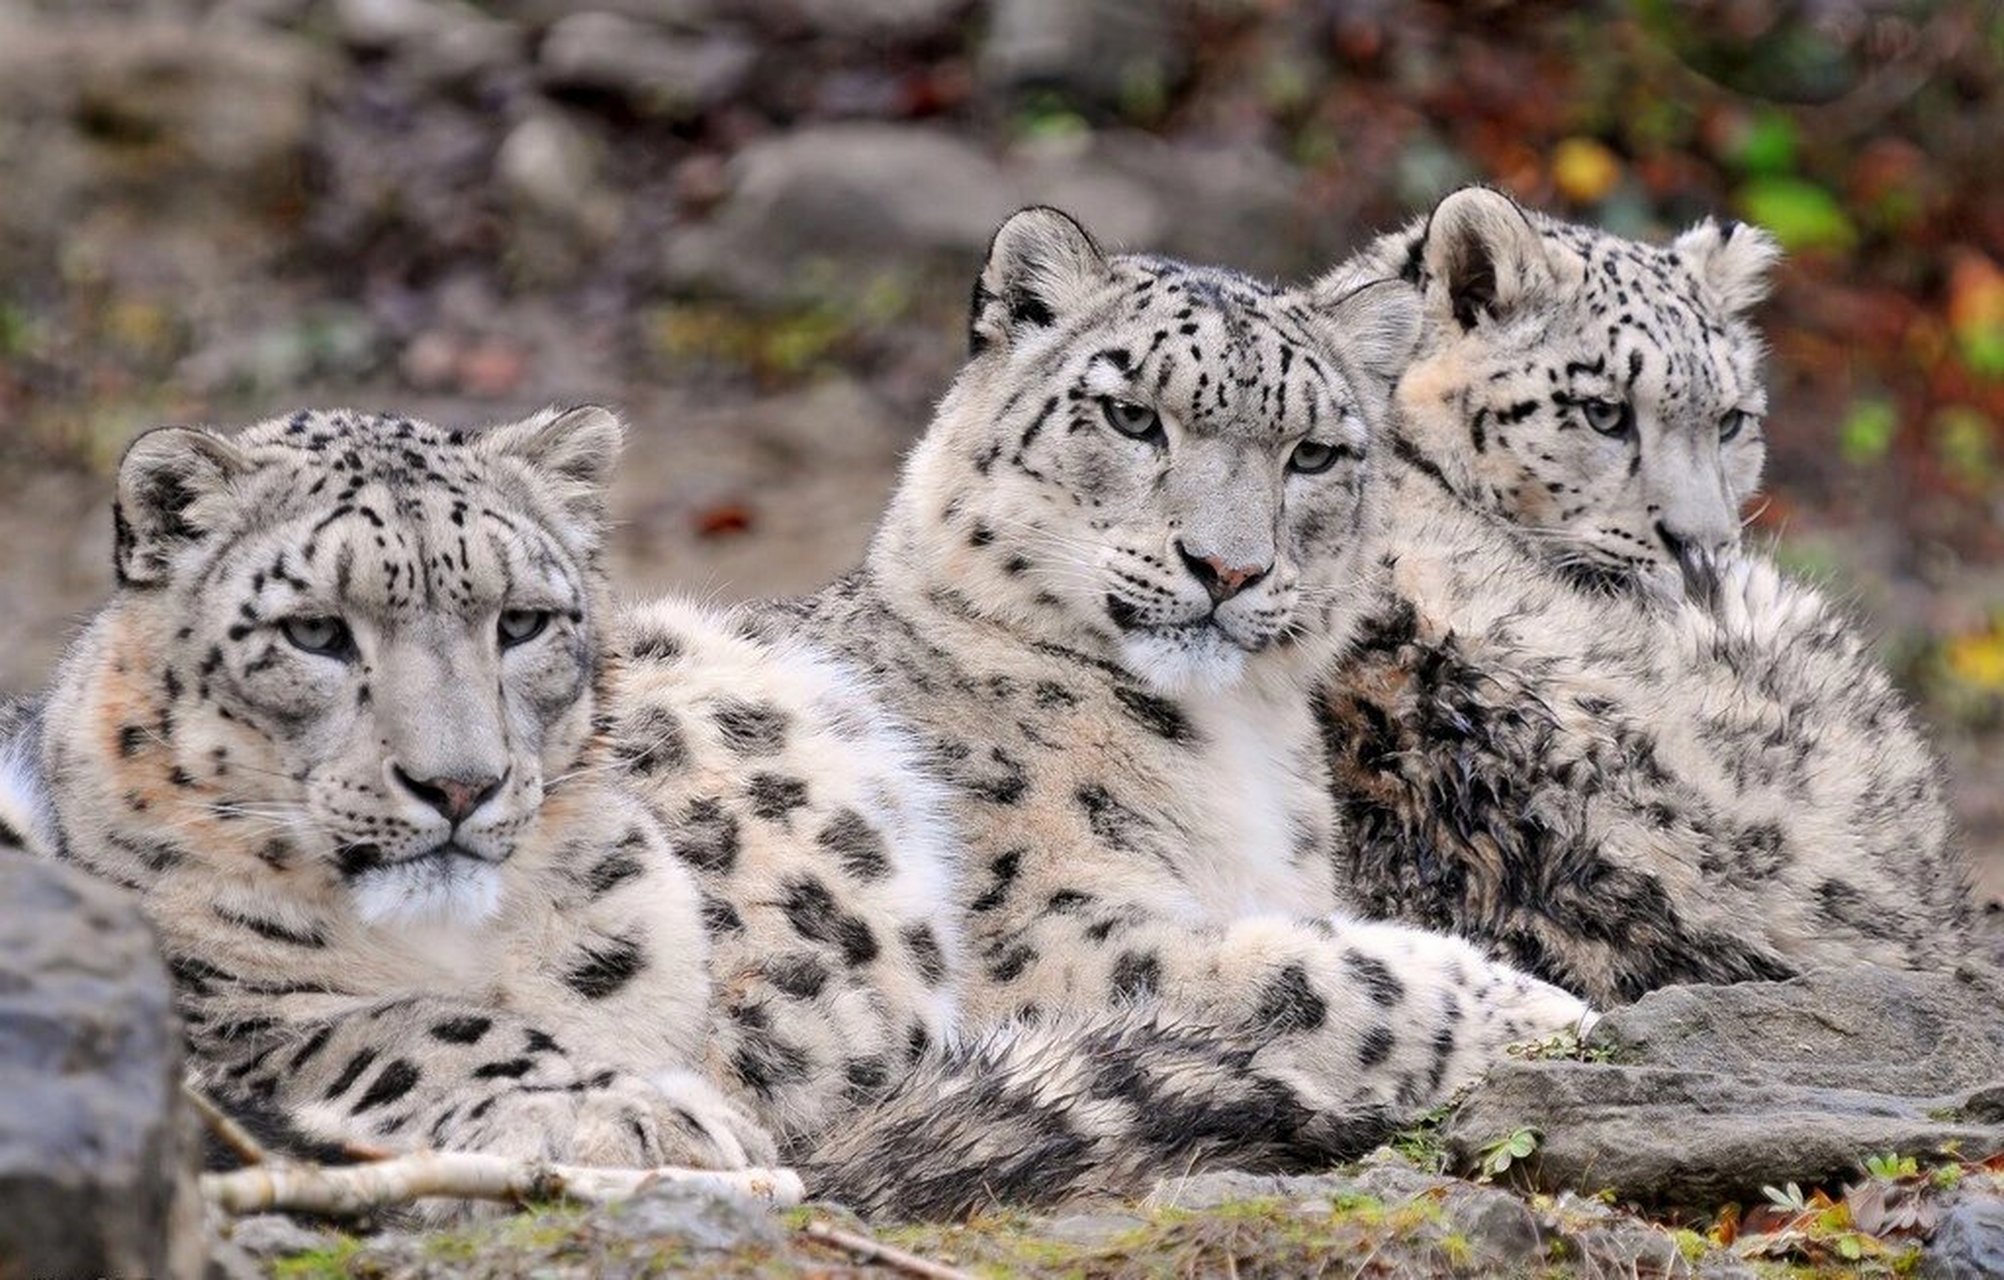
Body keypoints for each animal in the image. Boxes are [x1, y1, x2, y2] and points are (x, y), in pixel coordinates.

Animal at [766, 205, 1595, 1214]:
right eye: (1131, 415)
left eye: (1312, 453)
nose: (1228, 567)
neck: (1237, 739)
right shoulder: (1048, 939)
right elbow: (1314, 975)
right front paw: (1547, 1008)